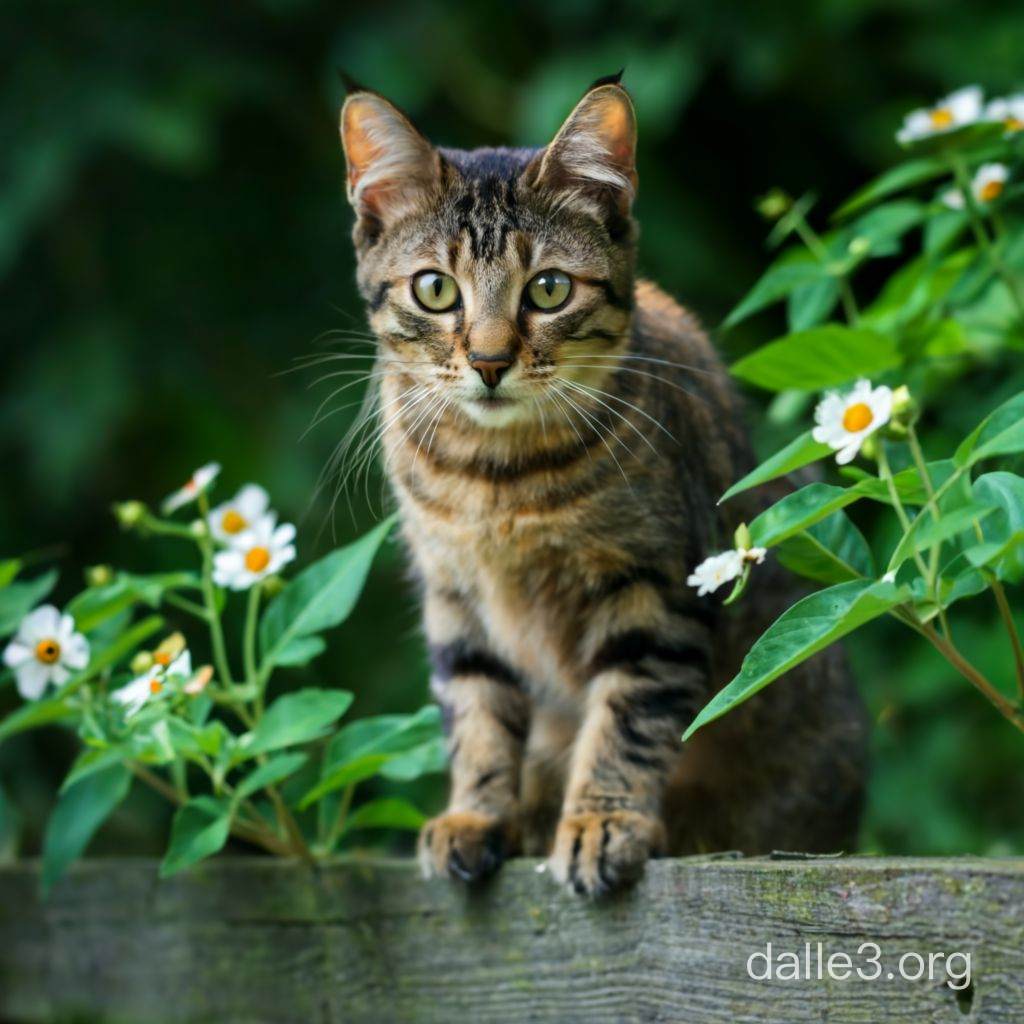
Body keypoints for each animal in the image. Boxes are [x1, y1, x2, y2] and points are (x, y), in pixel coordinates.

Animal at [339, 74, 868, 897]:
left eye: (550, 289)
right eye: (434, 290)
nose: (489, 361)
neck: (497, 477)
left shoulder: (656, 590)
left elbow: (629, 717)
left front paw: (601, 821)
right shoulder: (454, 597)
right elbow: (478, 716)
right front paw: (478, 814)